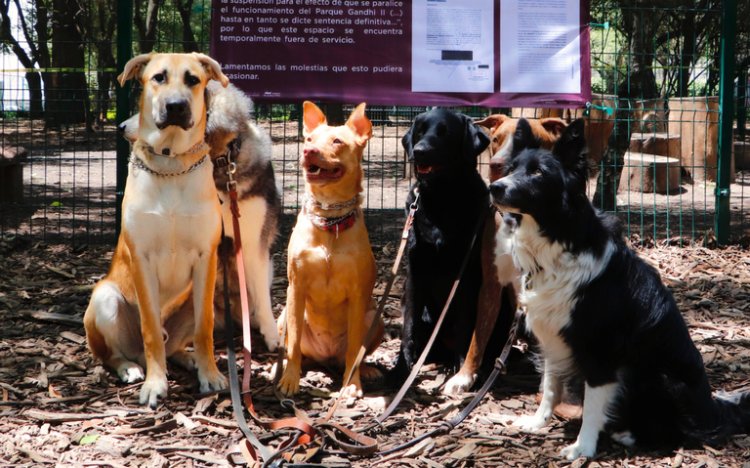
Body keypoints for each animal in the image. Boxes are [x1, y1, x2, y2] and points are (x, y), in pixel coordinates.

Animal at [83, 53, 228, 408]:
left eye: (193, 79)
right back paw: (131, 369)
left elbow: (204, 328)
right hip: (105, 298)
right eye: (158, 77)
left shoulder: (206, 258)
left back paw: (188, 358)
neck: (171, 165)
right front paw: (155, 384)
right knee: (113, 355)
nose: (175, 106)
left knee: (177, 342)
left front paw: (210, 374)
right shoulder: (142, 259)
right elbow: (150, 330)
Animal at [276, 102, 384, 398]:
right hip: (283, 315)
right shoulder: (295, 288)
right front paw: (290, 380)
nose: (308, 152)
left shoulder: (359, 295)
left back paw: (366, 370)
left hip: (375, 317)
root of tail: (325, 357)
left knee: (355, 352)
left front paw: (352, 383)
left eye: (337, 141)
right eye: (309, 140)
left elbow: (355, 349)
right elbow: (293, 344)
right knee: (295, 346)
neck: (329, 222)